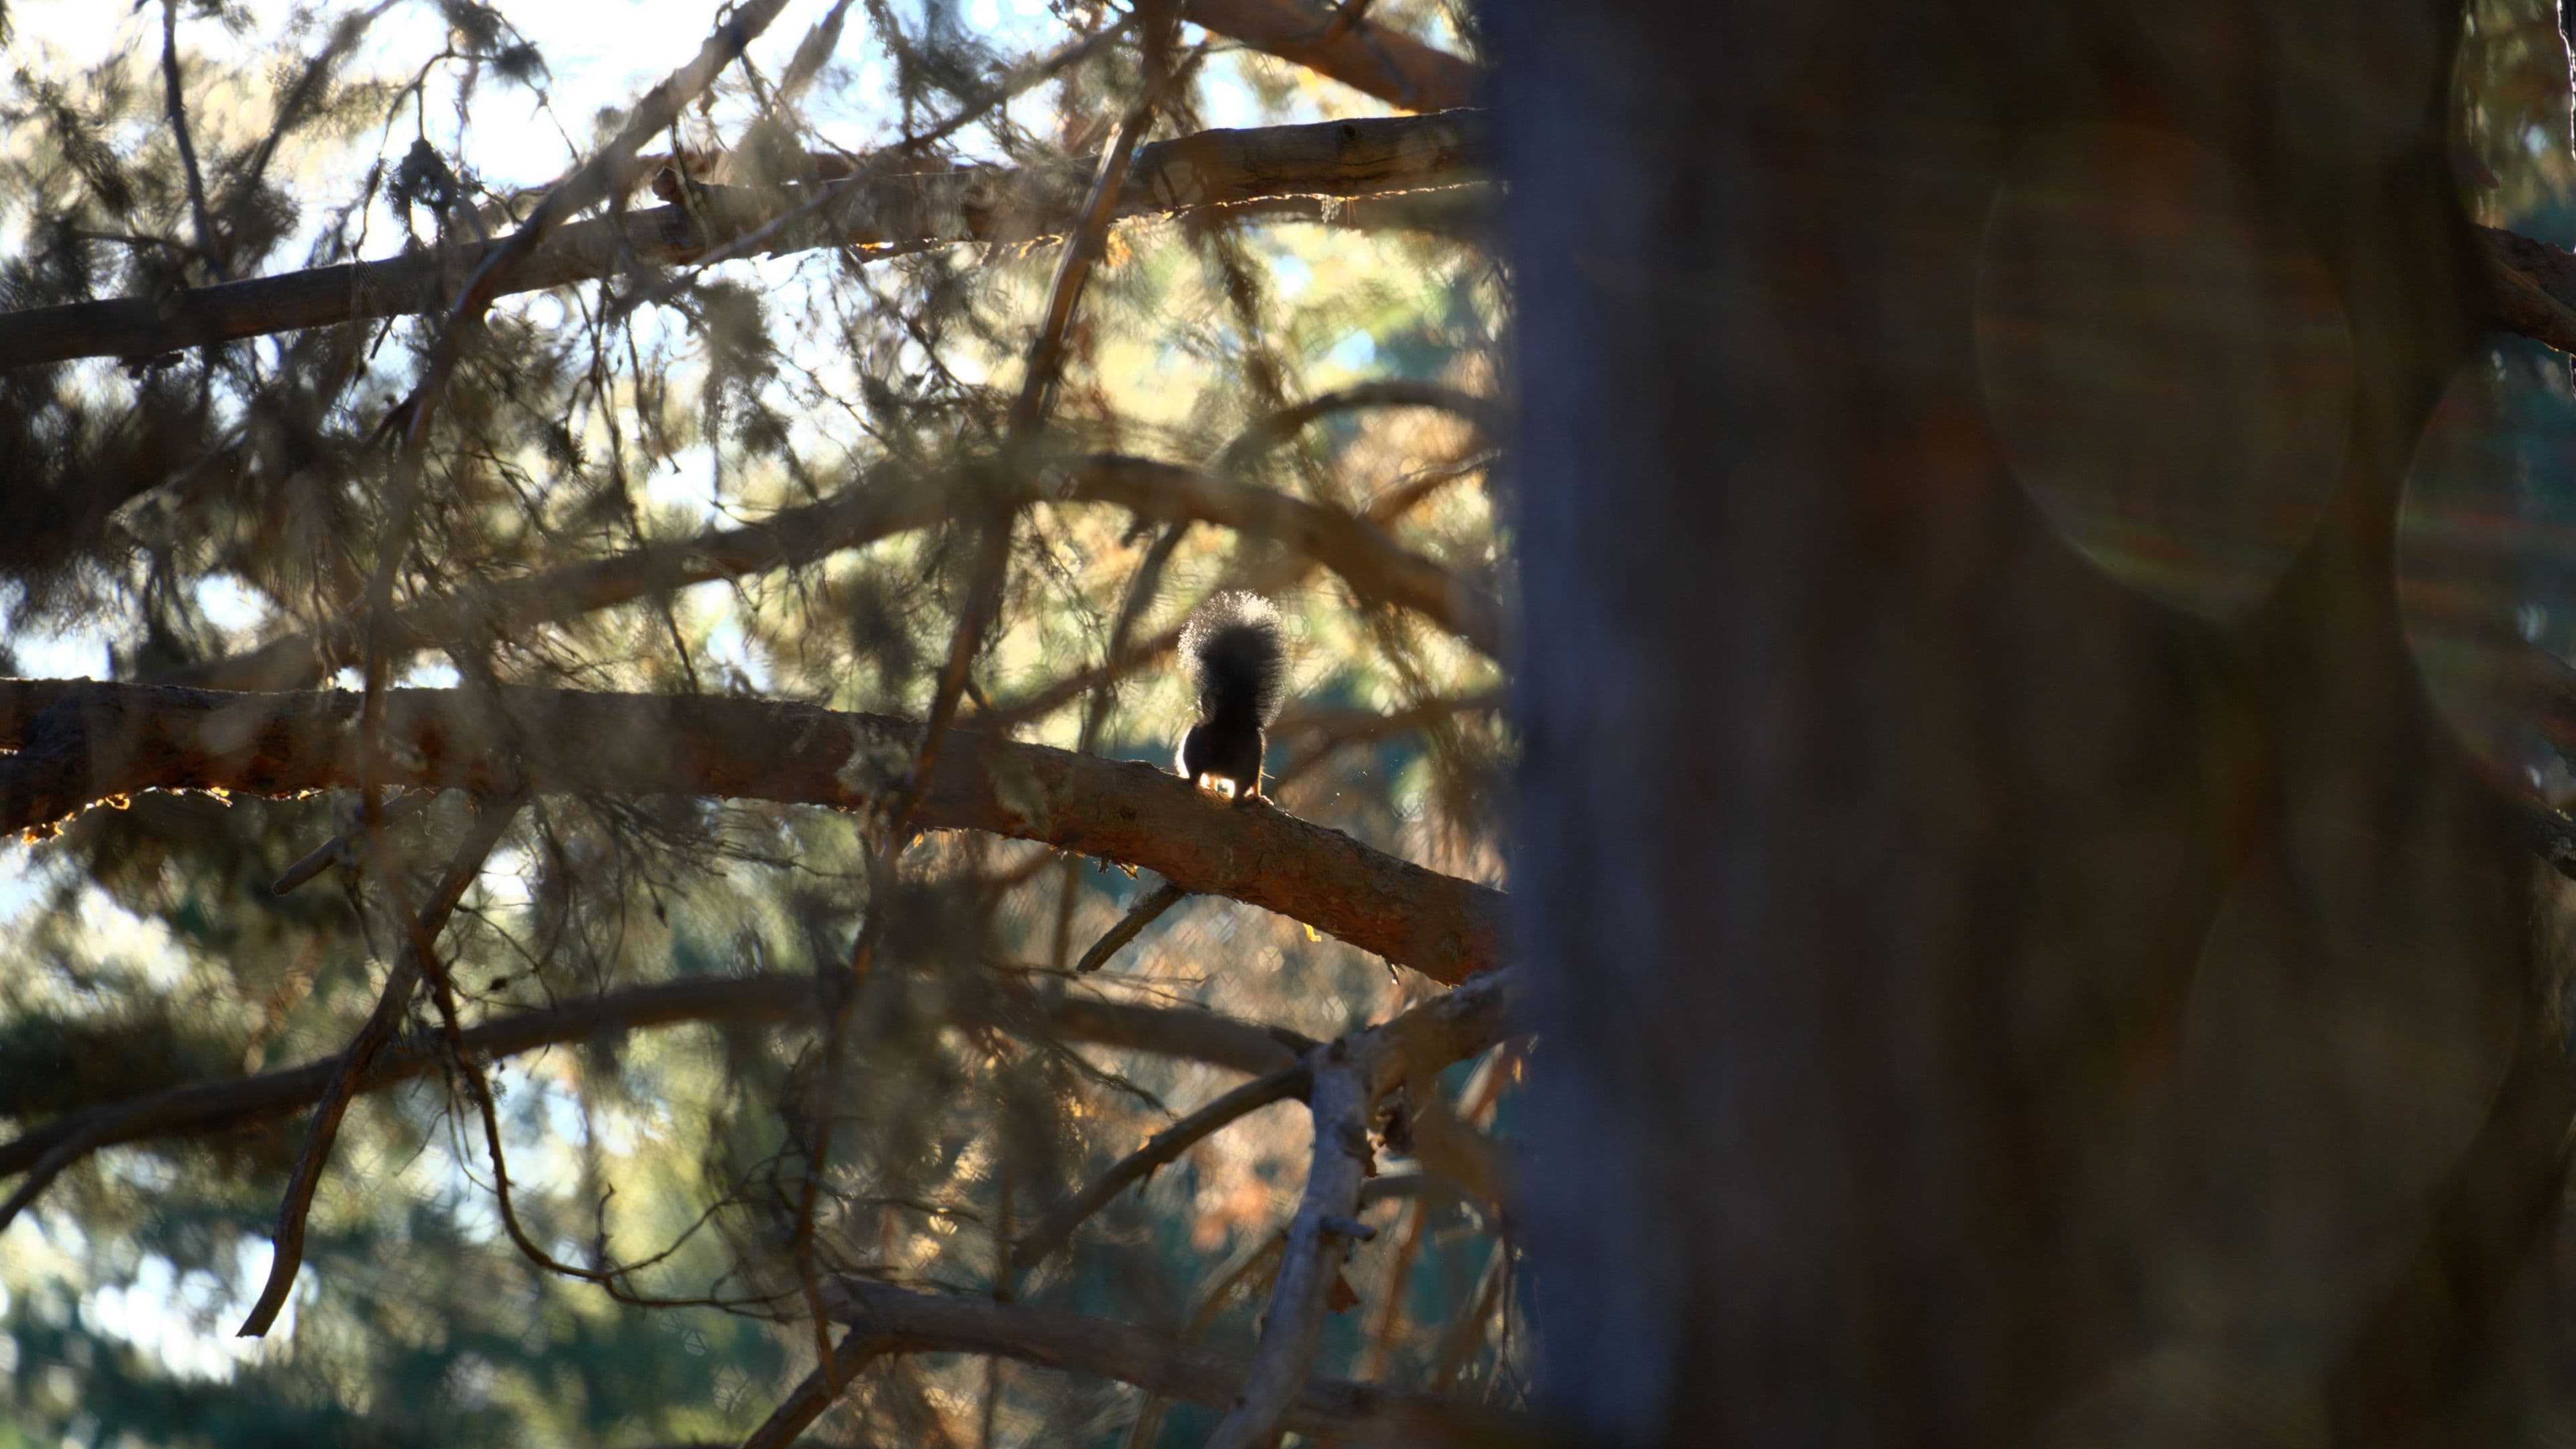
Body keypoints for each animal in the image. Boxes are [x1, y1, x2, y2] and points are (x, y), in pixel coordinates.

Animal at [1176, 592, 1285, 802]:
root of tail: (1228, 721)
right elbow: (1258, 783)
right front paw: (1259, 797)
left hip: (1195, 748)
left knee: (1198, 776)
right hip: (1248, 763)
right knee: (1239, 792)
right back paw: (1249, 799)